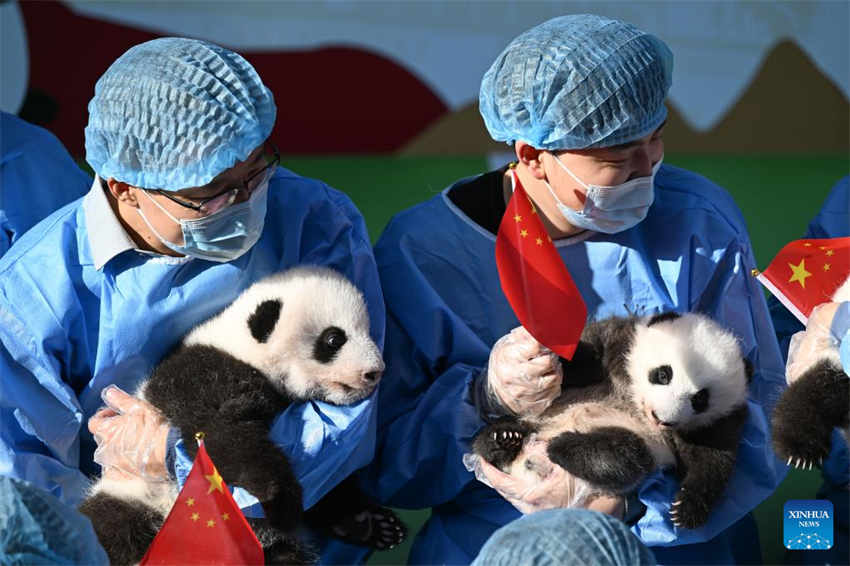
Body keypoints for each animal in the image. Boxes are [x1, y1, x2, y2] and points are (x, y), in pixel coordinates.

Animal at [79, 266, 392, 565]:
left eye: (367, 330)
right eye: (334, 338)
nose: (375, 372)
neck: (244, 349)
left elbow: (327, 474)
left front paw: (367, 521)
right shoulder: (202, 375)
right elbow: (218, 432)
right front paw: (279, 496)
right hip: (133, 495)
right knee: (112, 526)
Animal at [473, 312, 752, 529]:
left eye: (700, 399)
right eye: (664, 374)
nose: (662, 419)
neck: (634, 396)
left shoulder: (716, 423)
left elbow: (712, 460)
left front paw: (685, 509)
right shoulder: (620, 342)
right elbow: (585, 354)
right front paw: (537, 356)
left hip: (634, 442)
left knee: (626, 455)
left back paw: (562, 447)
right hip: (537, 419)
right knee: (487, 440)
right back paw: (503, 438)